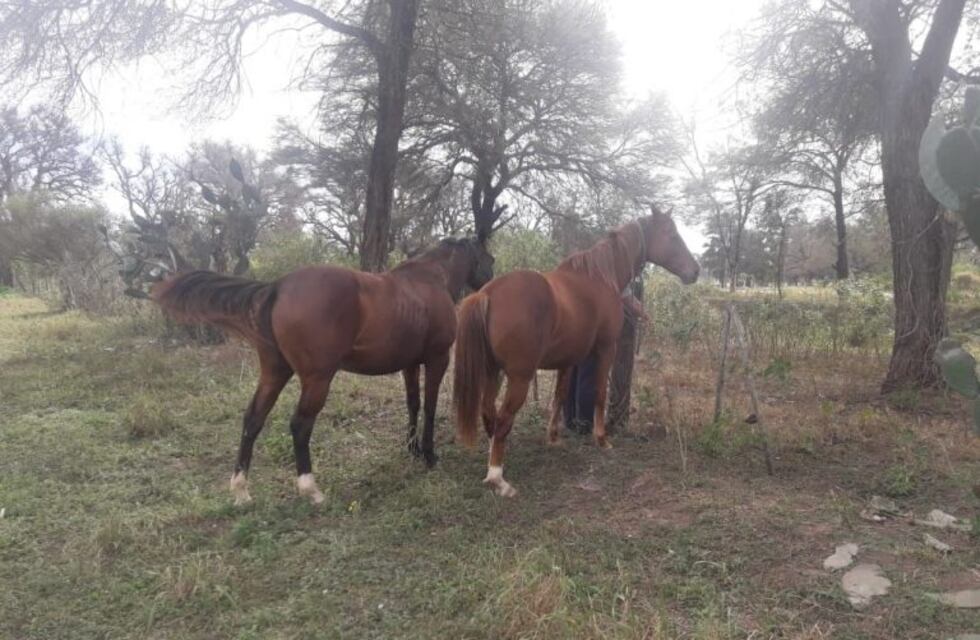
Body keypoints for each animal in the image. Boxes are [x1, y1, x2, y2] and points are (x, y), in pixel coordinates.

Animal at [152, 237, 494, 505]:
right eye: (488, 259)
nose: (490, 281)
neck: (429, 280)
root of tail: (278, 286)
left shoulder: (410, 364)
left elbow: (413, 404)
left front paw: (412, 450)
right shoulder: (437, 360)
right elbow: (431, 406)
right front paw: (429, 454)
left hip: (274, 373)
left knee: (253, 419)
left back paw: (241, 489)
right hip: (317, 380)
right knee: (300, 425)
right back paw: (310, 489)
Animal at [452, 207, 699, 497]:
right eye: (671, 234)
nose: (695, 270)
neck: (601, 277)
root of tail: (487, 294)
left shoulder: (568, 360)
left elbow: (559, 396)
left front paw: (553, 437)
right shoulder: (606, 349)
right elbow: (599, 394)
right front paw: (602, 439)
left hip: (493, 372)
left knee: (489, 414)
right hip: (518, 378)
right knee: (502, 420)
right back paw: (498, 479)